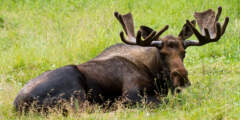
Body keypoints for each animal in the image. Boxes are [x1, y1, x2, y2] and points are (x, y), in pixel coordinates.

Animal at [13, 6, 229, 113]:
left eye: (184, 52)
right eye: (162, 53)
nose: (182, 78)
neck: (153, 73)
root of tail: (16, 105)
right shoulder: (131, 95)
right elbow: (166, 102)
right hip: (75, 91)